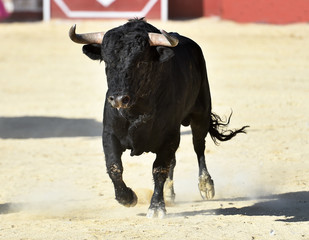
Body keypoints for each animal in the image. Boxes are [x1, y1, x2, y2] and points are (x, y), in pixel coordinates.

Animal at [68, 18, 247, 218]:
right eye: (107, 62)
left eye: (141, 62)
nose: (119, 99)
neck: (137, 110)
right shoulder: (109, 134)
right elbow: (114, 166)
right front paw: (128, 198)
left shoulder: (169, 136)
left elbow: (159, 169)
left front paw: (156, 207)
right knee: (174, 160)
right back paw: (169, 193)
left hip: (201, 114)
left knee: (198, 146)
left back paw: (206, 185)